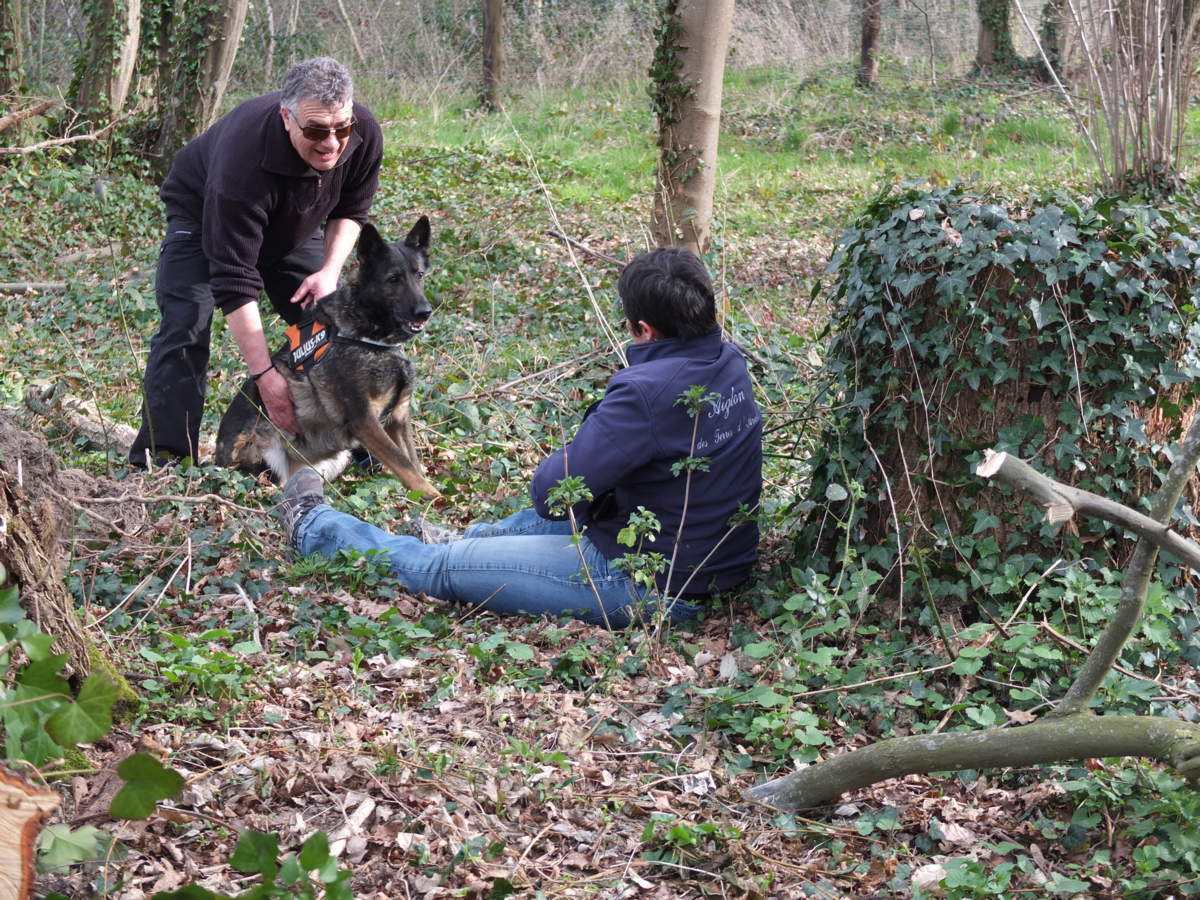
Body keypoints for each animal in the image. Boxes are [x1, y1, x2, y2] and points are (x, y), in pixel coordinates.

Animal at [216, 218, 441, 501]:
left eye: (419, 275)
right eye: (393, 279)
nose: (425, 312)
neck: (370, 338)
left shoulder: (398, 418)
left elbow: (412, 461)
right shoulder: (364, 419)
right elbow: (402, 462)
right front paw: (433, 496)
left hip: (336, 458)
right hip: (261, 442)